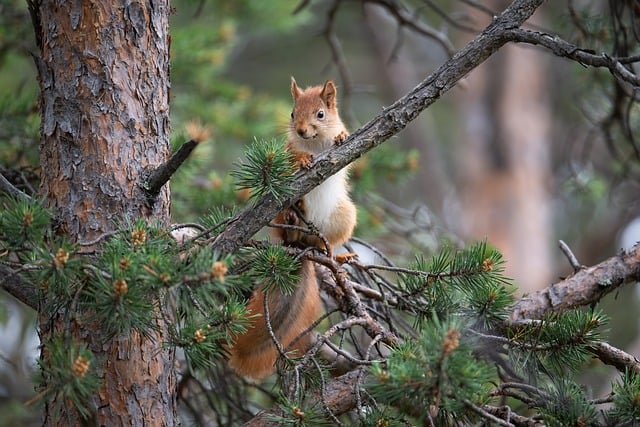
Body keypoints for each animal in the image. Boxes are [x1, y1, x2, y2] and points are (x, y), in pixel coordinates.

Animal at [226, 78, 357, 381]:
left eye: (321, 114)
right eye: (292, 113)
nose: (300, 130)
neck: (315, 142)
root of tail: (299, 247)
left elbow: (344, 140)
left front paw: (341, 137)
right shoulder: (288, 148)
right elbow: (292, 156)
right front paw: (303, 160)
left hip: (344, 216)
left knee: (322, 245)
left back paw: (336, 255)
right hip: (282, 215)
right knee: (291, 225)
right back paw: (296, 216)